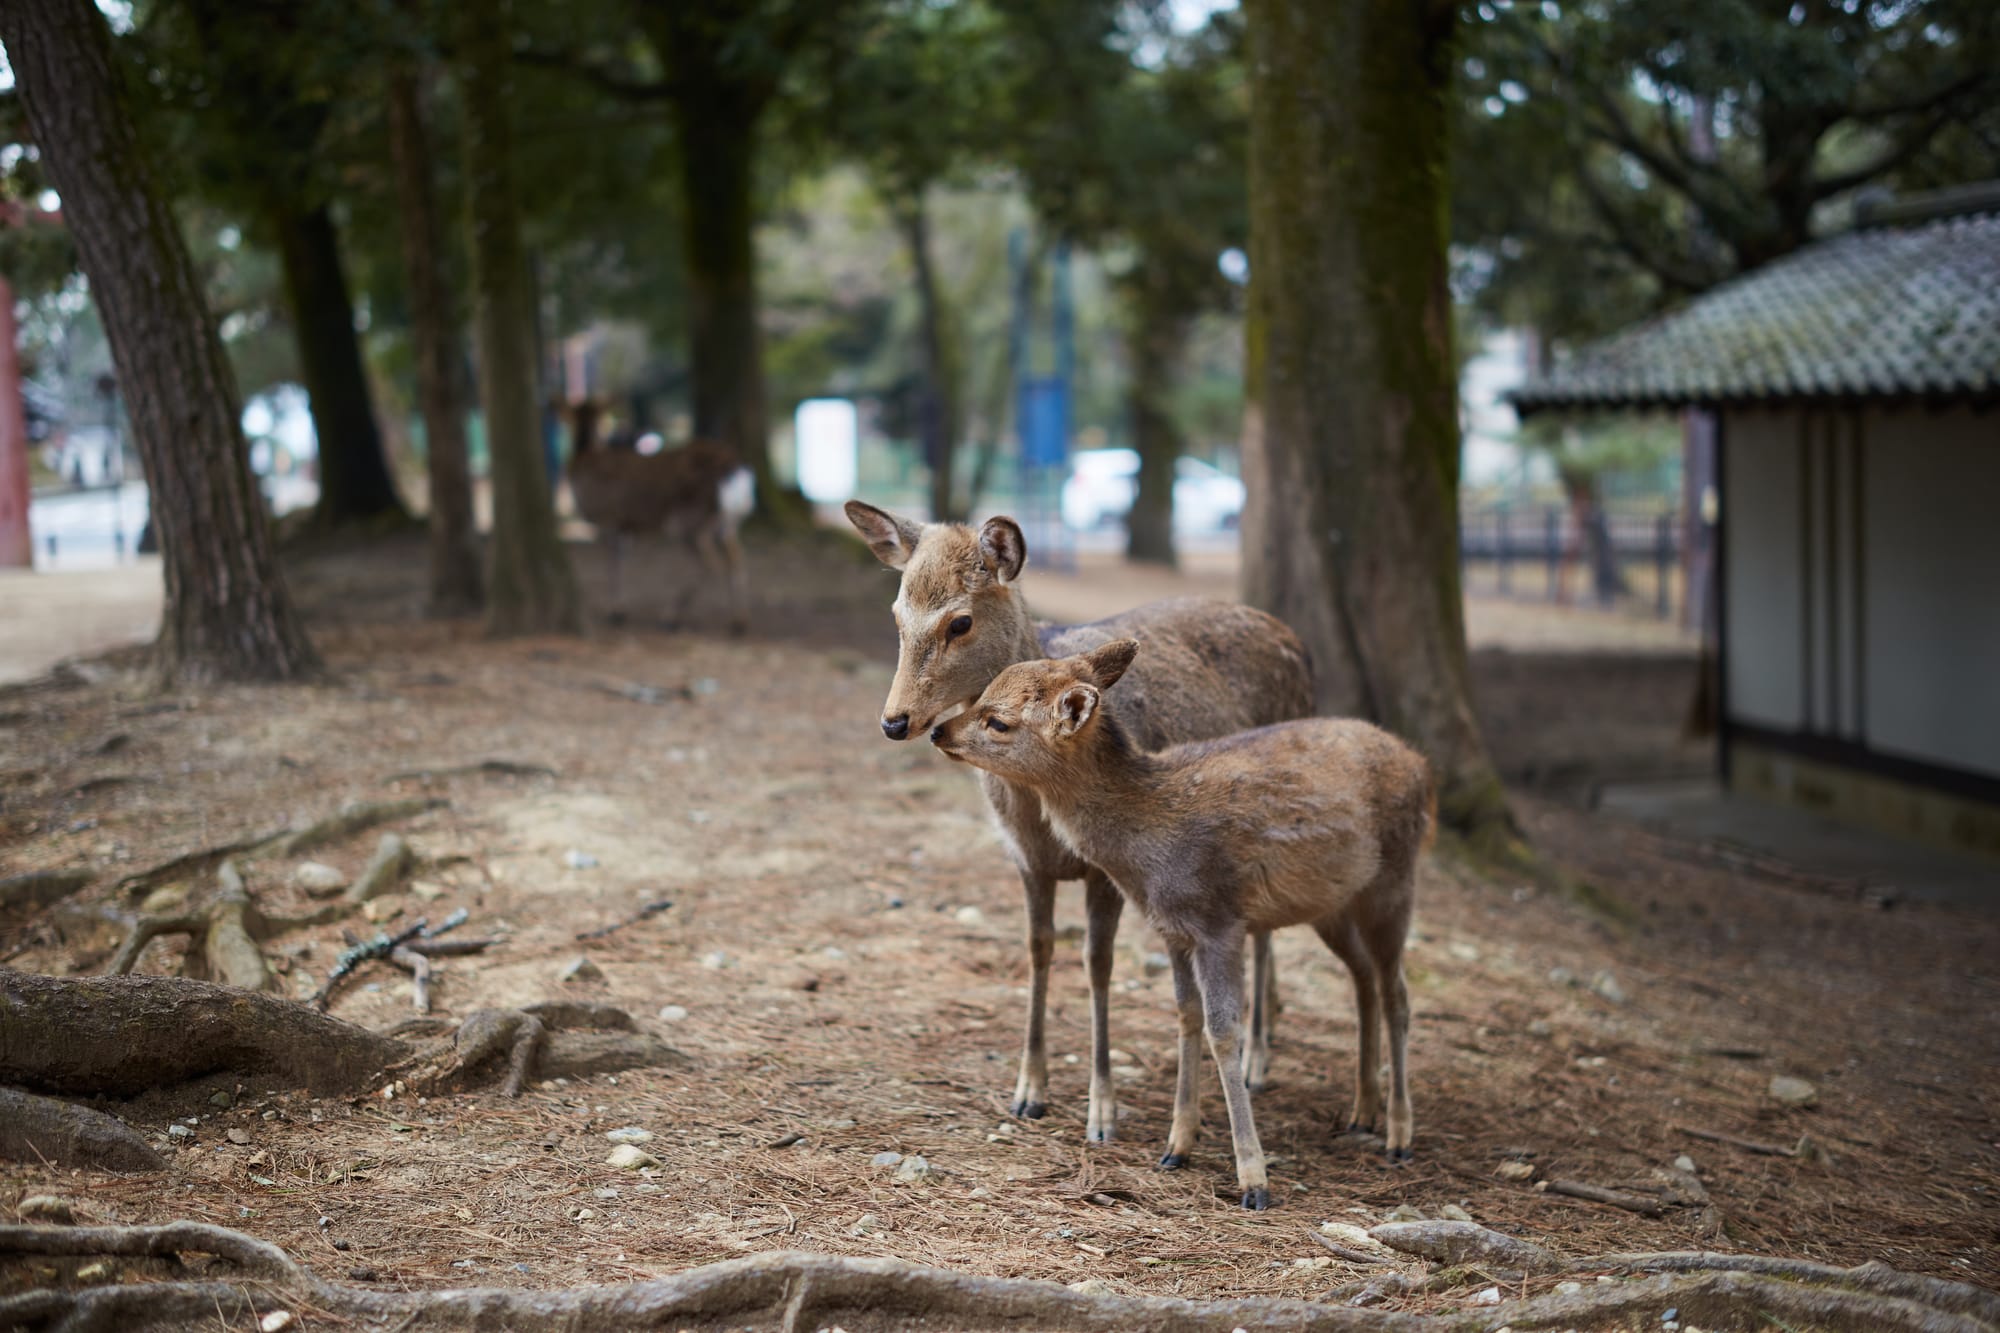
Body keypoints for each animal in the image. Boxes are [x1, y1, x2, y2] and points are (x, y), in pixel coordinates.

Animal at [564, 396, 752, 632]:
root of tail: (734, 469)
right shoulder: (623, 526)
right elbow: (620, 560)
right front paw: (620, 610)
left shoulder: (609, 519)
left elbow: (613, 564)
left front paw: (616, 612)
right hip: (728, 524)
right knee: (737, 559)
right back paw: (739, 621)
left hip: (690, 521)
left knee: (711, 564)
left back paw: (671, 617)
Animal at [844, 498, 1312, 1144]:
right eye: (896, 614)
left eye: (960, 622)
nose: (895, 721)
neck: (1040, 817)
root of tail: (1292, 637)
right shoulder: (1025, 861)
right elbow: (1039, 950)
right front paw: (1028, 1090)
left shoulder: (1107, 869)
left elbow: (1097, 966)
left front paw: (1102, 1110)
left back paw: (1258, 1058)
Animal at [928, 640, 1432, 1208]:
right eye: (984, 692)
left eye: (998, 721)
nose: (938, 731)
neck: (1148, 849)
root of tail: (1421, 764)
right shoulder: (1170, 927)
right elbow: (1186, 1016)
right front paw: (1176, 1147)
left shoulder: (1220, 922)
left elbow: (1224, 1031)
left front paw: (1253, 1178)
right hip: (1333, 906)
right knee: (1365, 978)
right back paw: (1362, 1111)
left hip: (1395, 882)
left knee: (1399, 994)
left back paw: (1399, 1135)